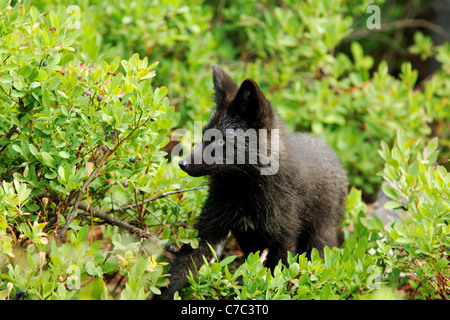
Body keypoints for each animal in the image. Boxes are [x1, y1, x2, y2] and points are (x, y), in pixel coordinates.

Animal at [158, 65, 348, 300]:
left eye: (222, 141)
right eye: (204, 136)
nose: (182, 163)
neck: (245, 191)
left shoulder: (283, 239)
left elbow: (279, 276)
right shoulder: (208, 232)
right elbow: (179, 271)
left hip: (320, 237)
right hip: (248, 241)